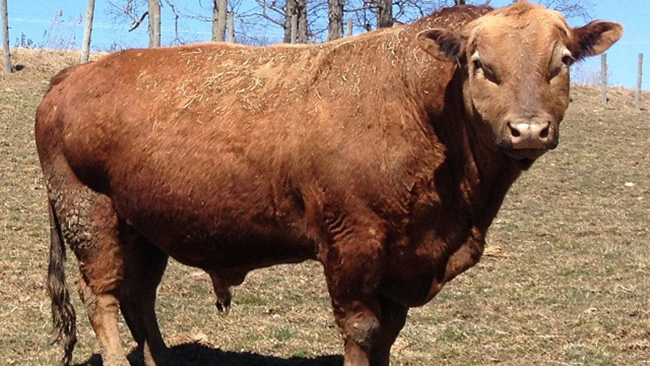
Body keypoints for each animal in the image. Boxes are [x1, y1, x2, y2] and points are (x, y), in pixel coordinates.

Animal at [34, 2, 616, 366]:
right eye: (480, 64)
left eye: (563, 61)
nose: (528, 129)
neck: (422, 104)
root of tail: (71, 76)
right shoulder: (352, 247)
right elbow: (361, 331)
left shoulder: (401, 262)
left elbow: (387, 336)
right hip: (91, 218)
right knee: (103, 298)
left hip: (146, 229)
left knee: (139, 298)